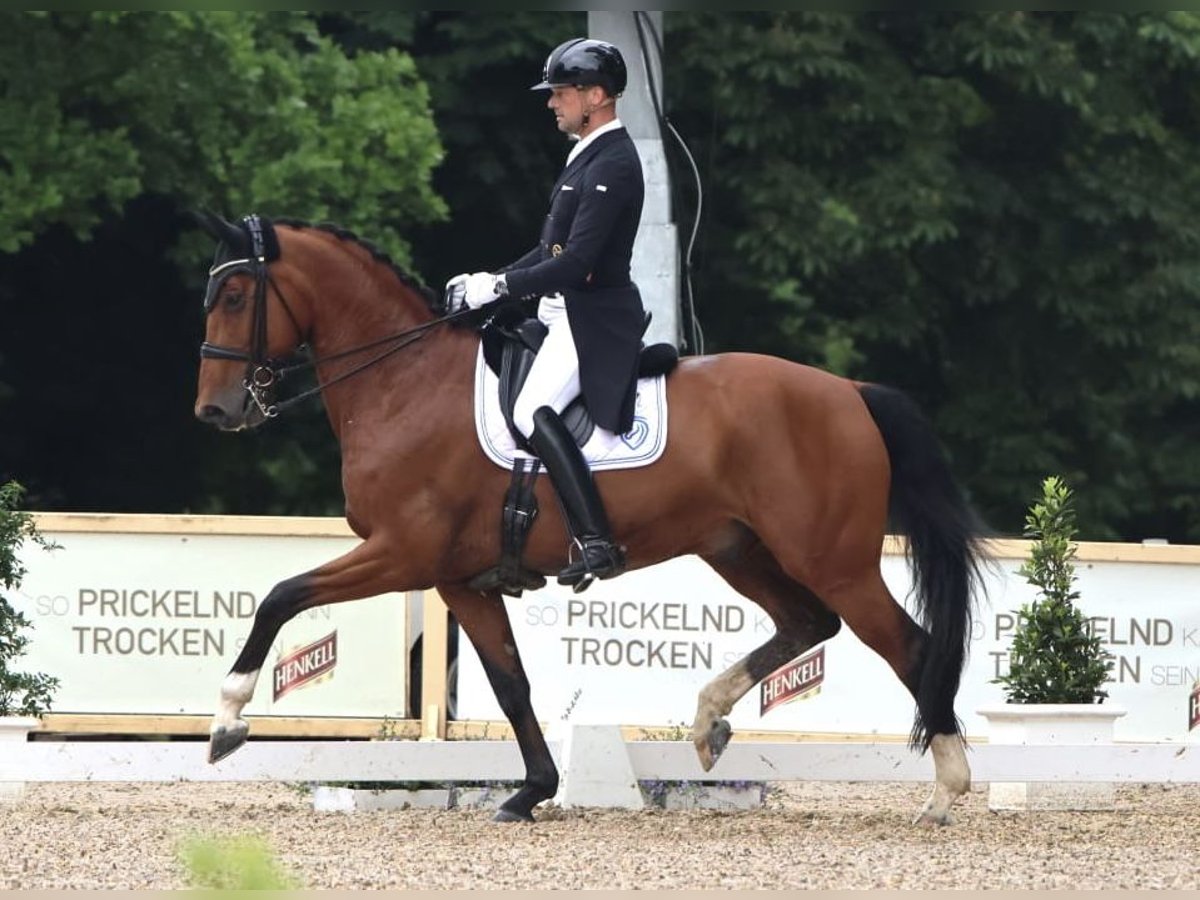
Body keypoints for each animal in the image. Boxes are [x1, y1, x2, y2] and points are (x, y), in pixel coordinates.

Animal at [194, 214, 984, 830]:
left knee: (909, 646)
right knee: (808, 622)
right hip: (737, 547)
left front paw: (227, 720)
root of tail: (850, 391)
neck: (403, 382)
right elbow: (511, 685)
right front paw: (532, 792)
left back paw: (946, 792)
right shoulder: (459, 579)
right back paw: (708, 723)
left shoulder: (403, 554)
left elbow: (281, 597)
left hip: (832, 558)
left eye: (234, 294)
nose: (214, 410)